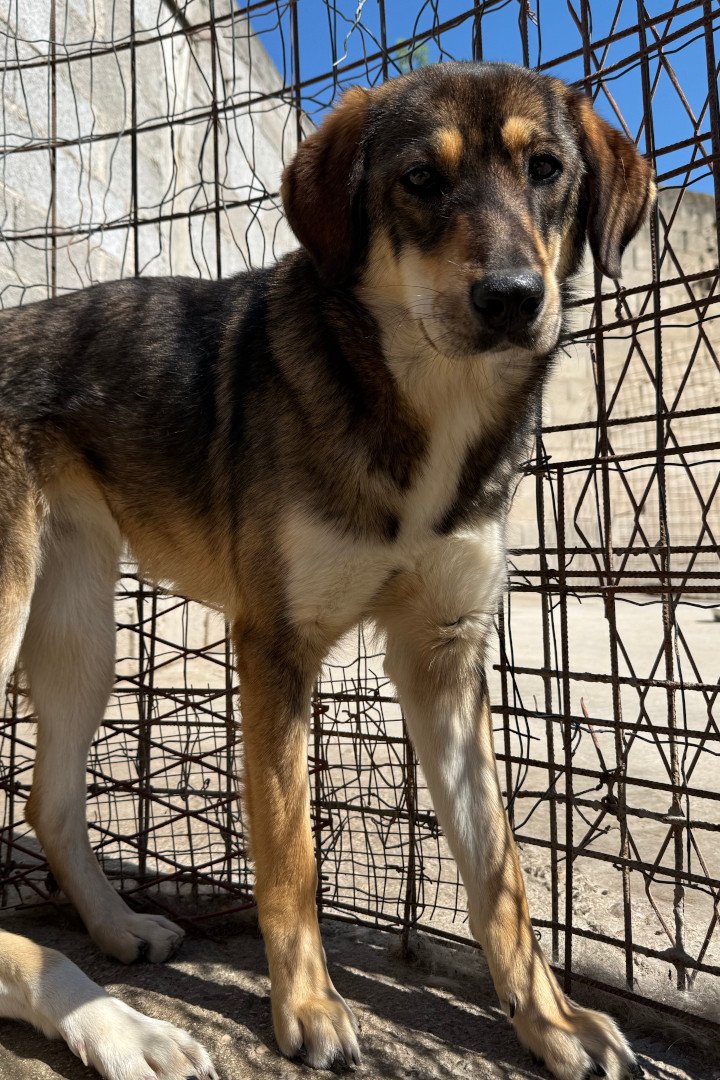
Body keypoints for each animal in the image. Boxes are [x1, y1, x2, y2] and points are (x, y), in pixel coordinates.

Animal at [0, 61, 654, 1080]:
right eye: (420, 180)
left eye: (546, 169)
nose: (513, 297)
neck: (421, 404)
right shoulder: (277, 646)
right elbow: (290, 849)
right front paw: (308, 1007)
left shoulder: (444, 656)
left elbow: (500, 873)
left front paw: (553, 1020)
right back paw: (112, 1020)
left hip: (76, 627)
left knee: (51, 800)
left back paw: (116, 933)